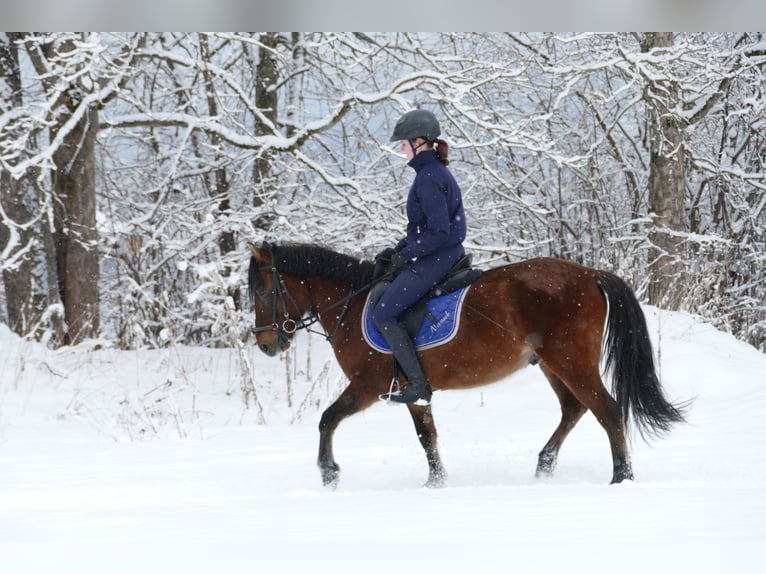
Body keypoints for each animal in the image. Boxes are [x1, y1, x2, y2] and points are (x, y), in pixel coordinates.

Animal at [249, 243, 688, 490]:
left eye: (262, 290)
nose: (266, 344)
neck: (353, 303)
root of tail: (591, 273)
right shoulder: (413, 391)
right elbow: (427, 437)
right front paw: (436, 482)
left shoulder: (366, 386)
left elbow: (327, 419)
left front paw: (329, 472)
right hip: (552, 364)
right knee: (574, 409)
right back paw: (544, 467)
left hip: (571, 361)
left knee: (607, 411)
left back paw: (621, 478)